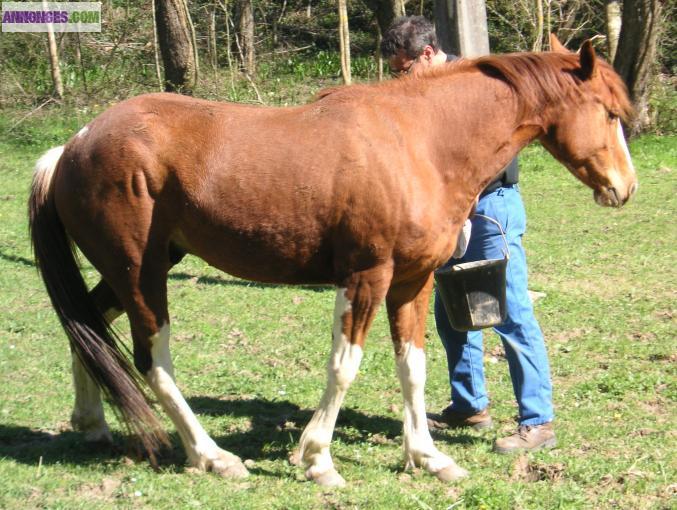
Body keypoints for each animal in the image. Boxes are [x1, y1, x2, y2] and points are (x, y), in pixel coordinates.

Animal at [29, 35, 636, 486]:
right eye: (608, 113)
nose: (624, 188)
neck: (420, 143)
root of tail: (74, 145)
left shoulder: (412, 283)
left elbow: (413, 368)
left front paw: (430, 457)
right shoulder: (366, 277)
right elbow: (345, 367)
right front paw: (318, 459)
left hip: (130, 272)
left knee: (85, 327)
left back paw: (92, 423)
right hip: (141, 275)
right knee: (152, 361)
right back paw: (212, 456)